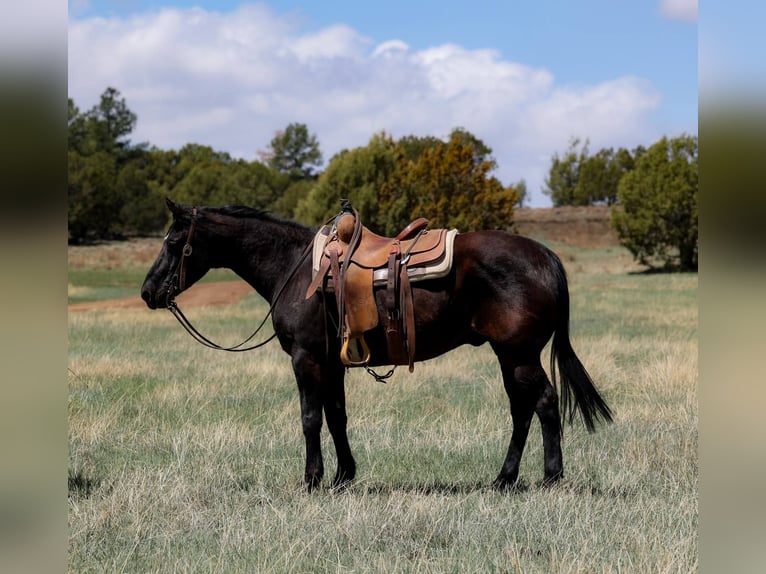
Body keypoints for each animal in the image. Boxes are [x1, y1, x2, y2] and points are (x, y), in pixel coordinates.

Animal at [141, 198, 612, 491]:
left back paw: (550, 477)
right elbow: (336, 417)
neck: (295, 268)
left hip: (519, 355)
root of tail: (545, 256)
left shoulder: (306, 360)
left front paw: (311, 480)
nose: (147, 292)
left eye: (173, 242)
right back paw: (504, 479)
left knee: (544, 403)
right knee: (522, 410)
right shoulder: (330, 363)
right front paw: (342, 477)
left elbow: (310, 418)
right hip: (510, 356)